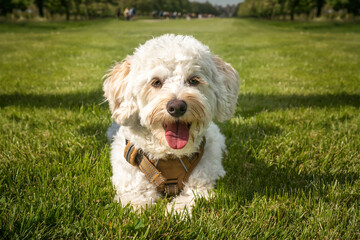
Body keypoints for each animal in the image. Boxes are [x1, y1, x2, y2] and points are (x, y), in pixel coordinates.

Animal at [102, 34, 240, 212]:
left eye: (194, 80)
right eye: (156, 82)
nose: (177, 107)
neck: (170, 155)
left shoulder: (201, 184)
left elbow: (190, 199)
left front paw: (174, 212)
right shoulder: (133, 186)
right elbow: (135, 202)